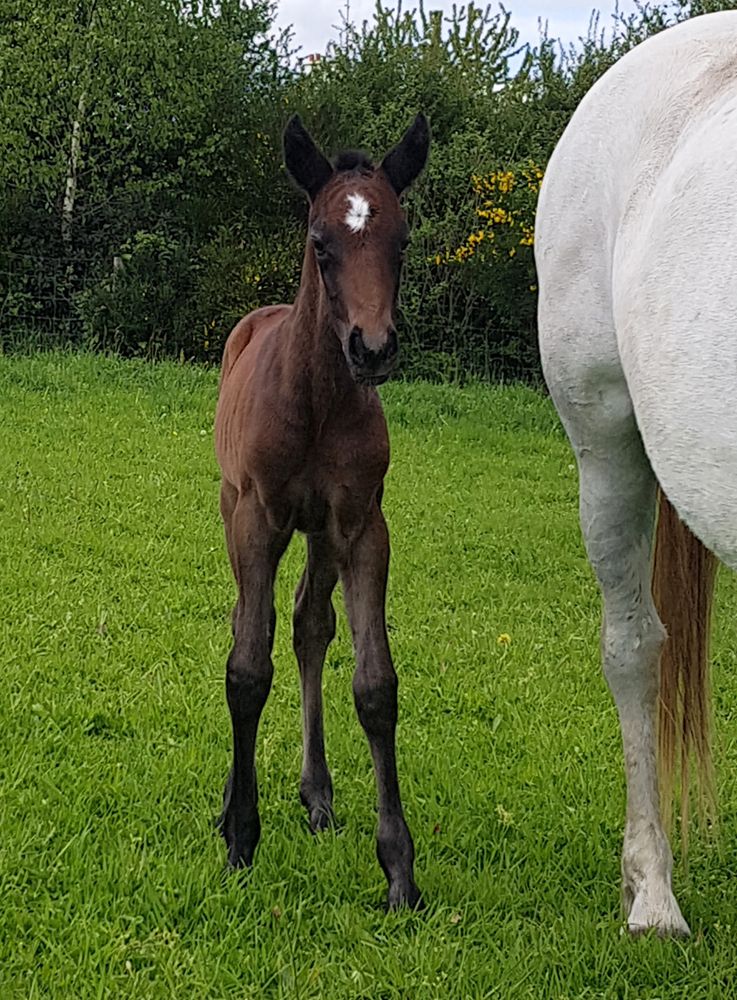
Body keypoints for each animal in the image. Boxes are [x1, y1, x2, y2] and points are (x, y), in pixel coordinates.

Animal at [213, 113, 428, 912]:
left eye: (401, 239)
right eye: (320, 241)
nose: (372, 347)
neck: (314, 401)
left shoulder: (362, 526)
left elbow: (375, 685)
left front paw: (398, 870)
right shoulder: (258, 519)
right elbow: (247, 668)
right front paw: (241, 840)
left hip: (321, 537)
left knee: (310, 624)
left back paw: (318, 795)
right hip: (235, 511)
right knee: (262, 624)